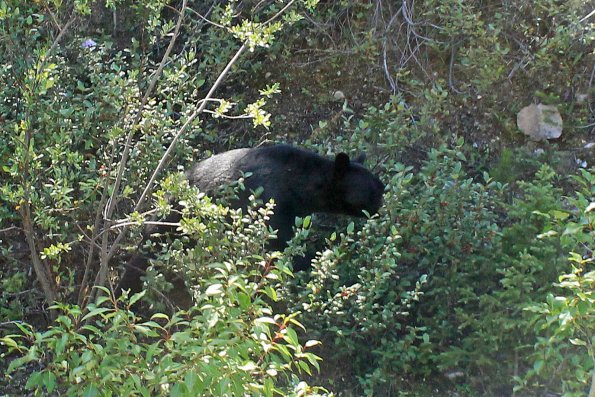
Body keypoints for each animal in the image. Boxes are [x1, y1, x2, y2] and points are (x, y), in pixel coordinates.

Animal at [117, 145, 386, 294]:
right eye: (374, 191)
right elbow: (282, 248)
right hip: (173, 225)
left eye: (379, 187)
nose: (382, 204)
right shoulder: (270, 204)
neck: (298, 184)